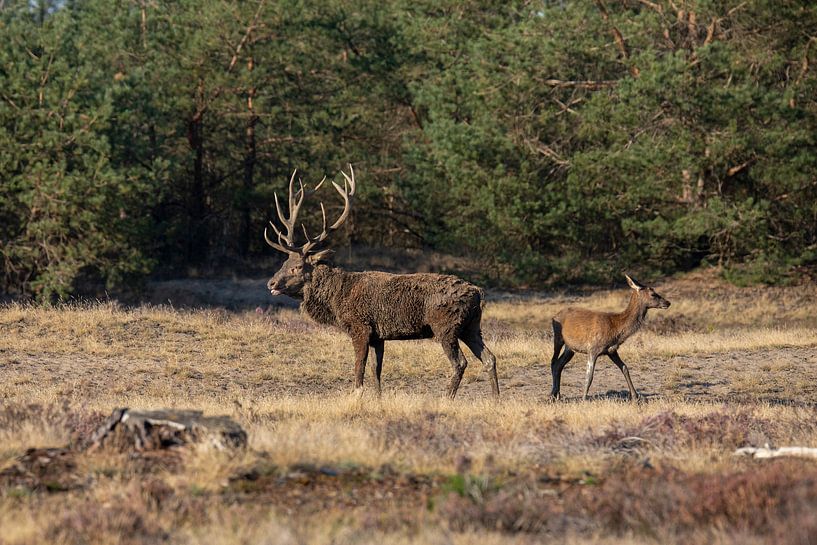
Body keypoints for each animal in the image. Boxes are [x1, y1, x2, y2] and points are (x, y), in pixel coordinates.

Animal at [264, 166, 499, 399]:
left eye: (297, 267)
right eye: (284, 262)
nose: (271, 283)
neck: (337, 300)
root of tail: (478, 294)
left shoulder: (360, 327)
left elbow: (359, 369)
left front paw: (356, 396)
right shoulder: (378, 335)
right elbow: (375, 370)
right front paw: (378, 399)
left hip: (446, 326)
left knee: (460, 362)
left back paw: (446, 399)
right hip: (471, 326)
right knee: (489, 358)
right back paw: (496, 399)